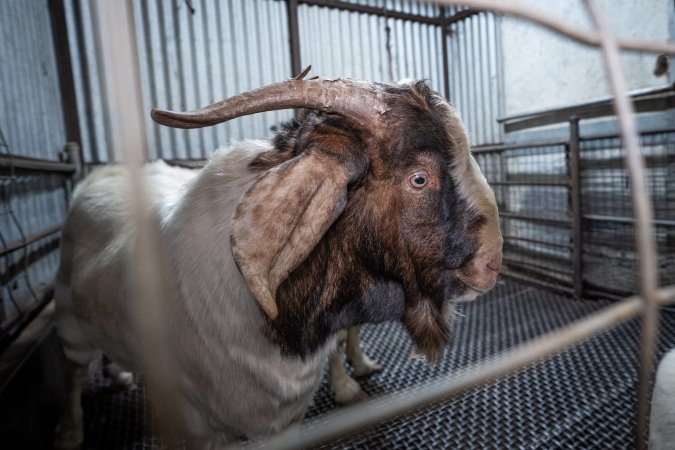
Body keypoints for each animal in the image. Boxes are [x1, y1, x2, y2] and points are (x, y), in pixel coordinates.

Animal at [55, 74, 504, 446]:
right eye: (419, 178)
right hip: (71, 323)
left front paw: (351, 380)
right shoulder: (199, 423)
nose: (492, 264)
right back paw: (71, 434)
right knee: (72, 371)